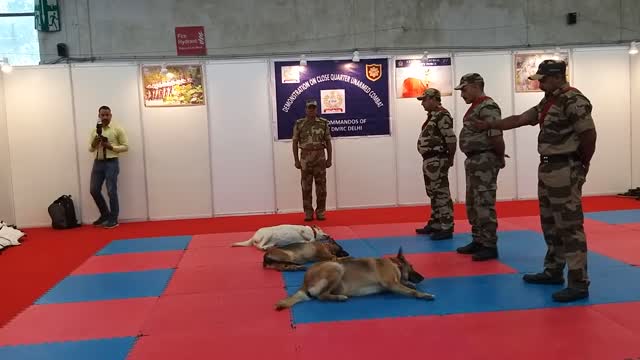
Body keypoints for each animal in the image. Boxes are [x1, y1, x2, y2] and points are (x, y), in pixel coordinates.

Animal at [276, 248, 436, 310]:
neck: (394, 264)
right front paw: (424, 294)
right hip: (336, 267)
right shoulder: (391, 284)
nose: (423, 278)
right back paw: (339, 298)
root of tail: (305, 281)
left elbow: (407, 285)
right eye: (412, 266)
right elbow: (411, 291)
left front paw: (410, 284)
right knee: (322, 296)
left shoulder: (393, 285)